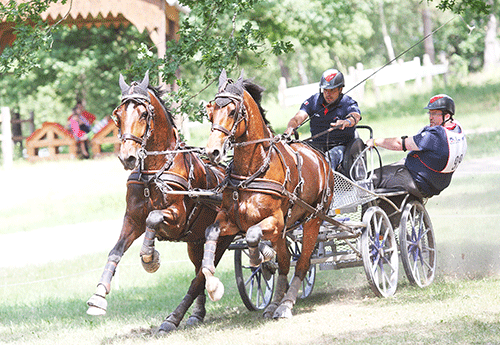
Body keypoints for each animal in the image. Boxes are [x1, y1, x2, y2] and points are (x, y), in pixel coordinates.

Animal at [86, 72, 234, 330]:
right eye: (118, 115)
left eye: (144, 114)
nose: (127, 157)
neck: (153, 172)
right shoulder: (132, 219)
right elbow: (115, 251)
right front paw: (98, 296)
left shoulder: (177, 217)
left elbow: (153, 219)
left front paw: (150, 258)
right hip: (195, 242)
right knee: (199, 270)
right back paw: (196, 314)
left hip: (221, 239)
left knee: (200, 277)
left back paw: (173, 318)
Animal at [201, 70, 334, 318]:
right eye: (211, 111)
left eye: (232, 111)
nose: (212, 151)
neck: (252, 171)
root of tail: (320, 158)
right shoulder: (231, 220)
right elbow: (210, 232)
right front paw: (212, 284)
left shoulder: (275, 222)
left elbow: (253, 235)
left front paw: (260, 258)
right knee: (286, 260)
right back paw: (274, 302)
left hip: (312, 220)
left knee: (302, 262)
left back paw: (286, 303)